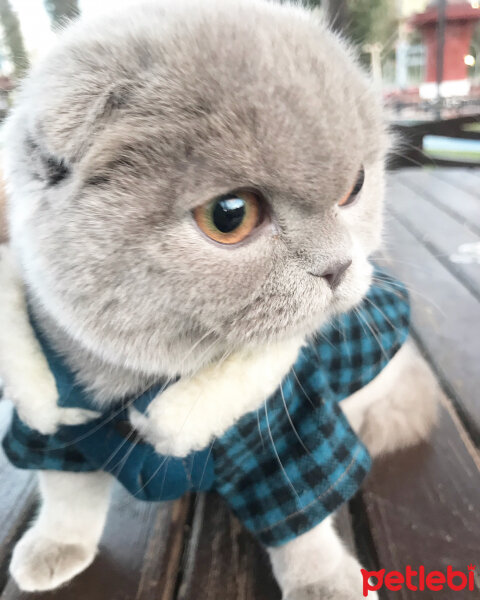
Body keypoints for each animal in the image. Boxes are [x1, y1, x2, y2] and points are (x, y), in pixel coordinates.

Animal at [0, 2, 438, 596]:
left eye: (355, 186)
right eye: (230, 215)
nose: (339, 266)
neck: (144, 381)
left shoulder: (290, 431)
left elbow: (303, 523)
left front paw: (324, 581)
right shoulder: (54, 428)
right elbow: (66, 498)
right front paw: (55, 548)